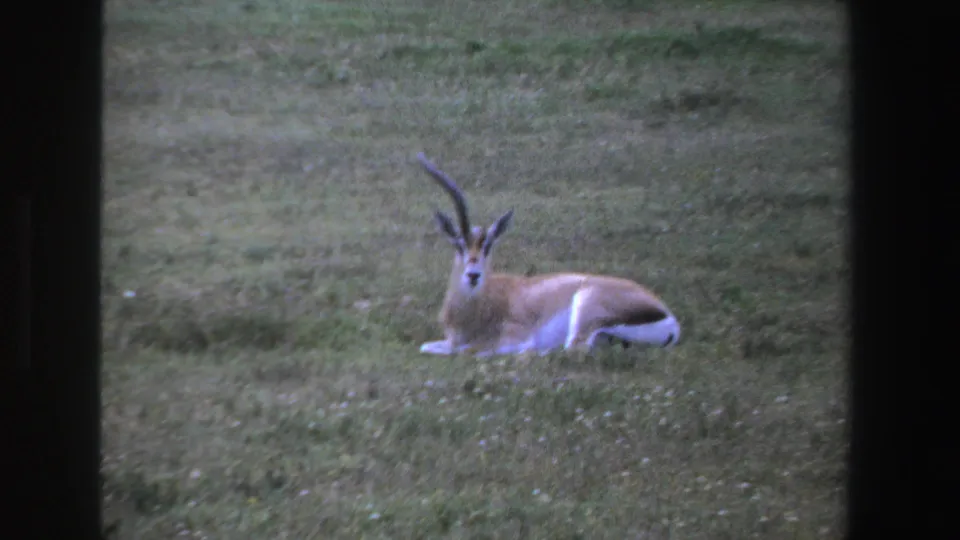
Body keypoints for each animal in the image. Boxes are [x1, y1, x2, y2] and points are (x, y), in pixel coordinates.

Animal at [416, 152, 681, 358]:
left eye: (488, 246)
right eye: (459, 244)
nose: (473, 275)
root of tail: (668, 317)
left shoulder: (511, 337)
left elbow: (468, 351)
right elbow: (427, 346)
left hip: (584, 308)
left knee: (573, 349)